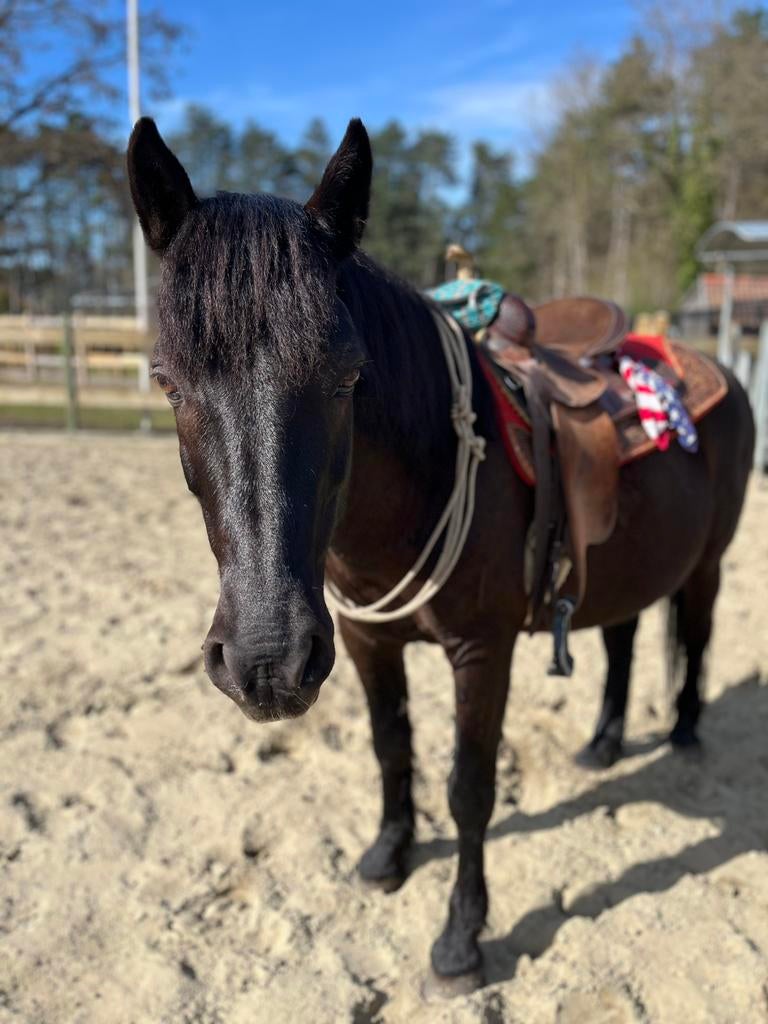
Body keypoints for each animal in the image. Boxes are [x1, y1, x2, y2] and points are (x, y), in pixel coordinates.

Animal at [126, 116, 754, 994]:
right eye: (167, 381)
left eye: (349, 376)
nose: (265, 660)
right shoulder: (363, 641)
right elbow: (392, 751)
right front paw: (388, 857)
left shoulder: (481, 653)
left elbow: (468, 788)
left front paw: (461, 939)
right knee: (626, 636)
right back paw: (602, 743)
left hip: (707, 564)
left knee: (694, 635)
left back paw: (688, 733)